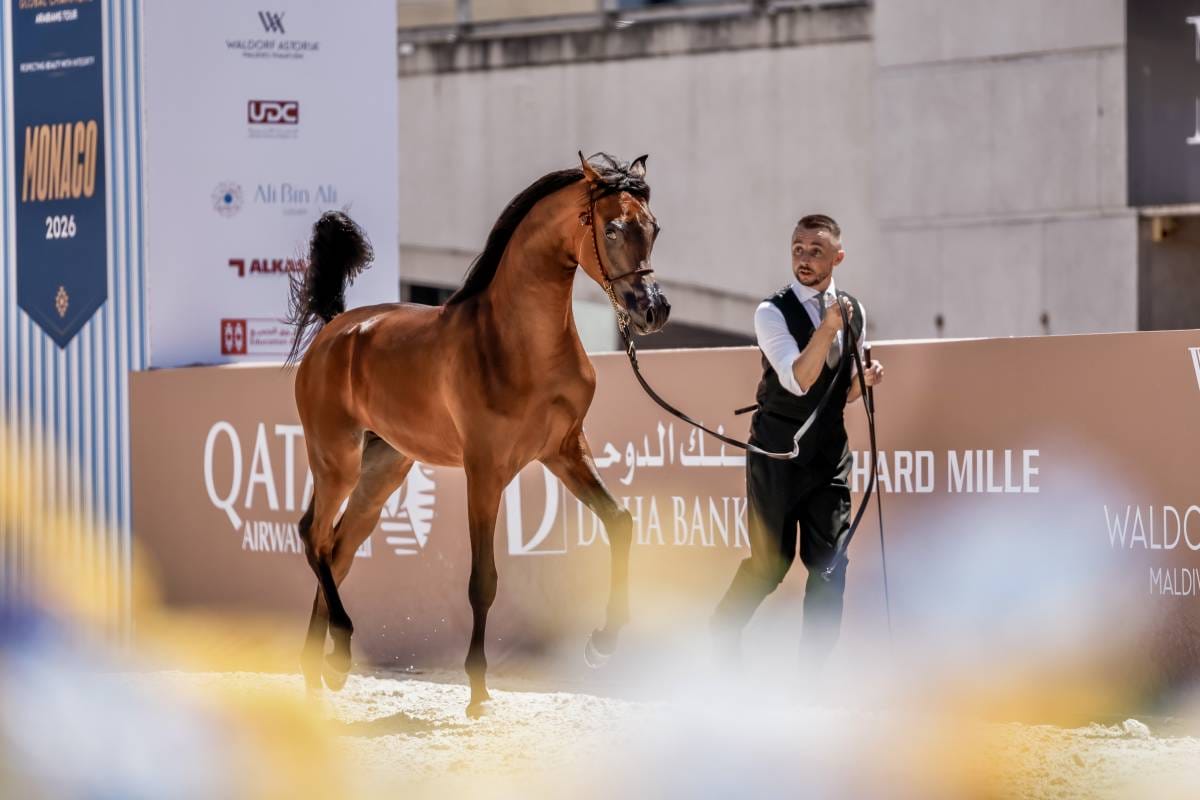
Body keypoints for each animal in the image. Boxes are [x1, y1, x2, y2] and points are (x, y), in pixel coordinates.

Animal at [285, 153, 669, 716]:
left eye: (654, 228)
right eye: (613, 228)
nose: (652, 310)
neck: (519, 344)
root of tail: (336, 329)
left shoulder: (565, 451)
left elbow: (620, 522)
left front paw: (603, 643)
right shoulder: (484, 471)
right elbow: (482, 580)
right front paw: (479, 690)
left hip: (382, 472)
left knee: (337, 547)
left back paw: (321, 673)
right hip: (336, 459)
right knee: (313, 535)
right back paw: (337, 649)